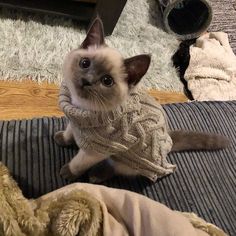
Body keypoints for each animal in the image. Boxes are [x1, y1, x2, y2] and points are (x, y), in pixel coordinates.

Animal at [54, 17, 230, 183]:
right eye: (85, 63)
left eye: (107, 81)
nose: (87, 81)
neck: (81, 107)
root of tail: (168, 139)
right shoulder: (74, 120)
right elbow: (69, 131)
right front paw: (62, 138)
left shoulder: (97, 151)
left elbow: (78, 163)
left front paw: (67, 172)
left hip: (123, 157)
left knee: (117, 168)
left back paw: (96, 175)